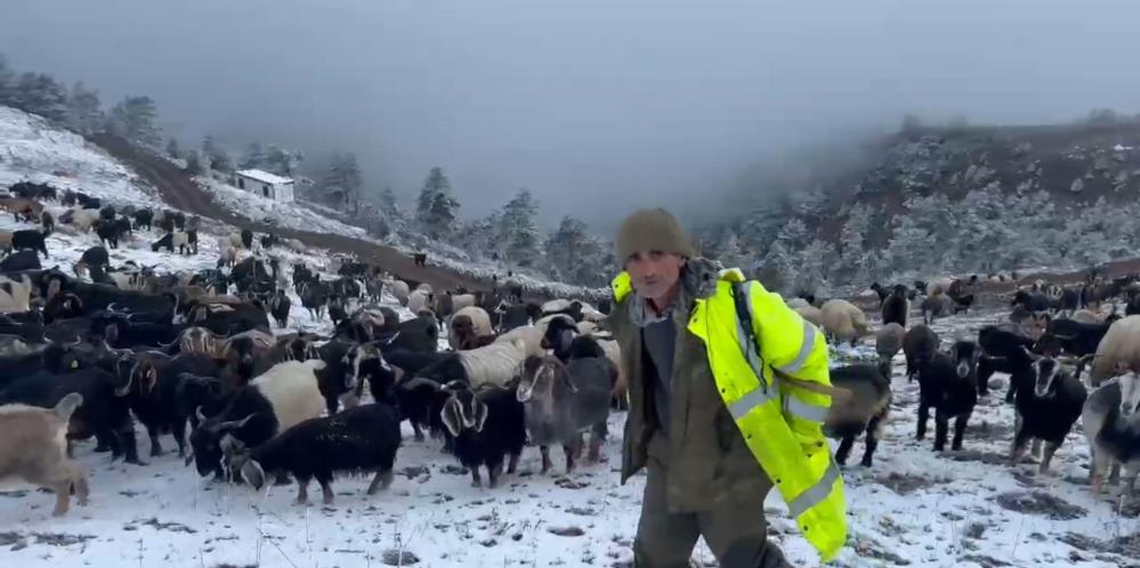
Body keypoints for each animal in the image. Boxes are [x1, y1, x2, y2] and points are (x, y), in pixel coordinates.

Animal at [222, 401, 401, 504]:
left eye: (235, 466)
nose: (230, 482)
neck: (286, 447)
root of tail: (392, 412)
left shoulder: (316, 468)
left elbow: (317, 484)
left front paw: (320, 500)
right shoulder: (308, 469)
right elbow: (306, 484)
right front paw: (303, 499)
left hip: (384, 454)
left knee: (383, 471)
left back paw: (372, 489)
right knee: (386, 472)